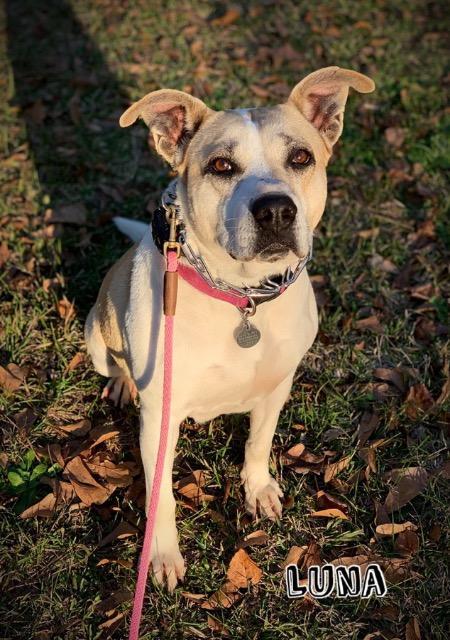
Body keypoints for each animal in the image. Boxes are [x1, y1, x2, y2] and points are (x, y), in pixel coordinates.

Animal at [86, 66, 374, 592]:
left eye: (300, 158)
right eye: (221, 165)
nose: (276, 210)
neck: (242, 297)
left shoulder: (277, 386)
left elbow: (259, 442)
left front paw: (257, 489)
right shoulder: (159, 420)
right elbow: (162, 498)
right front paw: (162, 556)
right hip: (96, 335)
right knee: (113, 364)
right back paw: (120, 383)